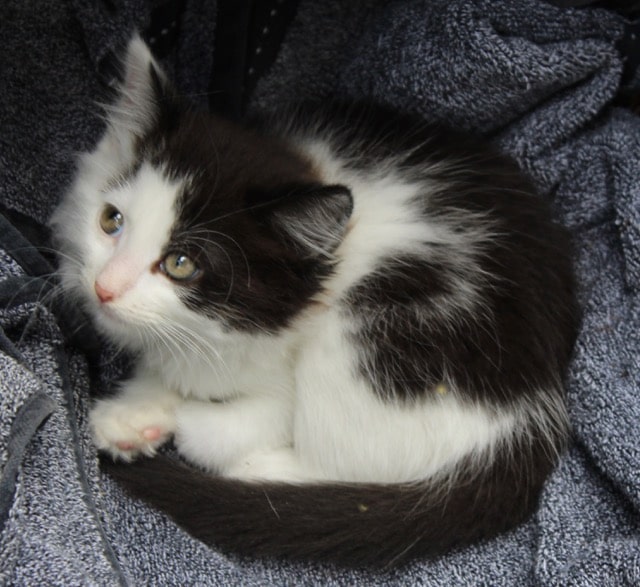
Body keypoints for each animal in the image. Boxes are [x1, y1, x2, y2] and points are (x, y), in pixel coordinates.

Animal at [51, 36, 579, 568]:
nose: (104, 287)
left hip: (373, 333)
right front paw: (134, 415)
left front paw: (182, 417)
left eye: (181, 263)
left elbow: (252, 412)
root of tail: (531, 413)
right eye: (111, 220)